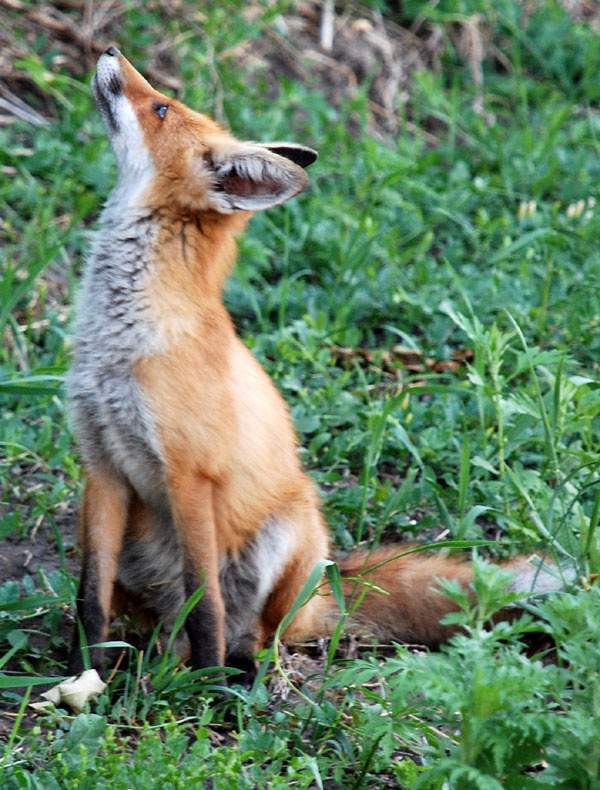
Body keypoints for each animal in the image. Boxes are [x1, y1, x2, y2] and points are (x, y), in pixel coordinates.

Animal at [67, 47, 565, 683]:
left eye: (160, 108)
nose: (109, 51)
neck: (117, 342)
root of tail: (322, 596)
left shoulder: (189, 474)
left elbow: (205, 601)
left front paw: (205, 688)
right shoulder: (101, 465)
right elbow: (90, 597)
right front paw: (77, 671)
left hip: (294, 524)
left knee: (256, 630)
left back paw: (232, 669)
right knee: (160, 618)